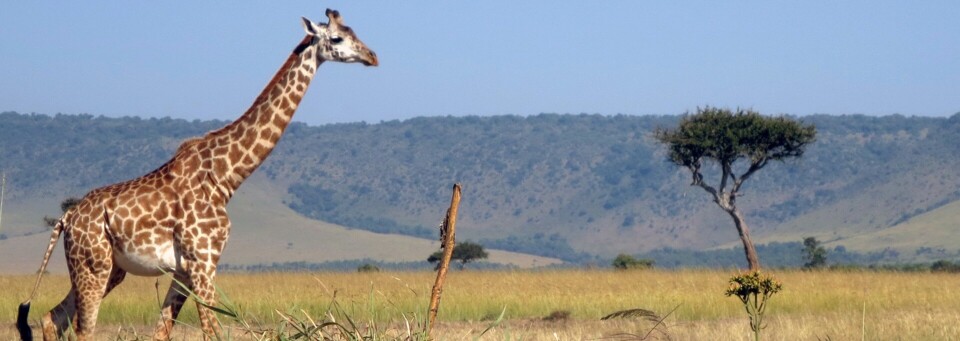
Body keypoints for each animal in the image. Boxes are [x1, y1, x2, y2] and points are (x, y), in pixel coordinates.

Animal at [15, 9, 376, 338]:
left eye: (354, 30)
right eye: (337, 38)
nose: (372, 56)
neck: (226, 177)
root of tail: (67, 219)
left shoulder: (185, 269)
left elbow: (162, 331)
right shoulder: (203, 261)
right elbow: (212, 330)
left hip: (108, 269)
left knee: (53, 317)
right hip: (93, 265)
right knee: (82, 328)